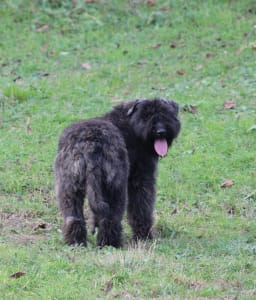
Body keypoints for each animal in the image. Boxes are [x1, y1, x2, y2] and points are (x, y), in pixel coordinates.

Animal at [55, 97, 181, 247]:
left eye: (166, 113)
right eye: (145, 115)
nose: (160, 131)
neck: (131, 126)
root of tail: (90, 144)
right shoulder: (142, 179)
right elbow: (141, 209)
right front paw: (143, 237)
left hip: (69, 187)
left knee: (73, 217)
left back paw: (76, 242)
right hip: (115, 187)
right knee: (111, 218)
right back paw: (110, 243)